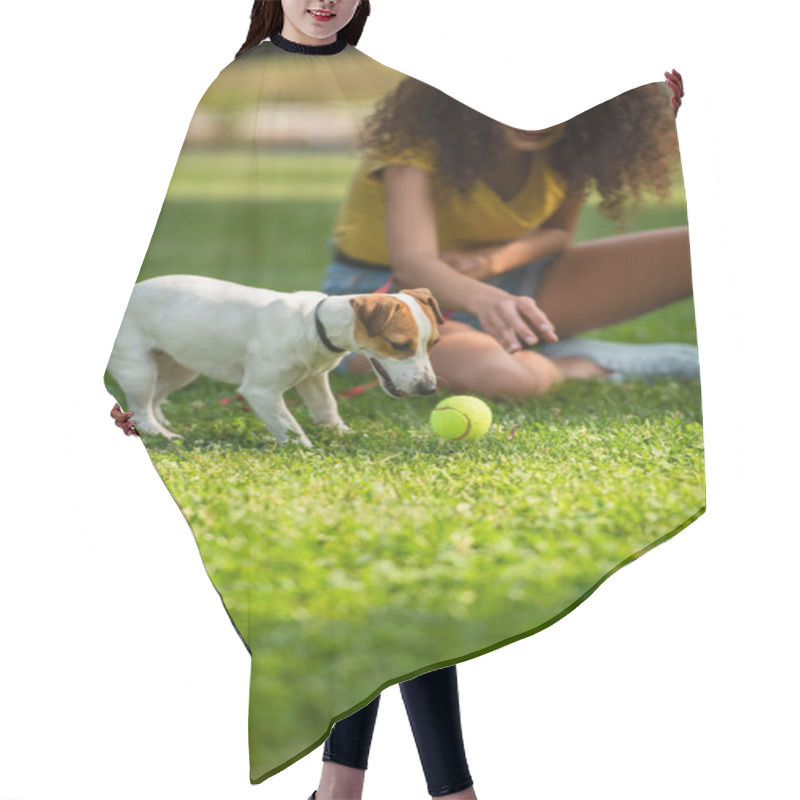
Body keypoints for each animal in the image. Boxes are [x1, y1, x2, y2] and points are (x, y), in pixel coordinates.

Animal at [106, 276, 444, 446]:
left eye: (435, 343)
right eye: (399, 345)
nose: (429, 389)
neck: (313, 324)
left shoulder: (314, 378)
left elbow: (327, 406)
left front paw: (342, 432)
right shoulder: (261, 391)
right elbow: (288, 424)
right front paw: (306, 448)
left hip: (181, 367)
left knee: (155, 397)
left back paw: (162, 419)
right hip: (140, 370)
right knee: (142, 408)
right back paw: (160, 432)